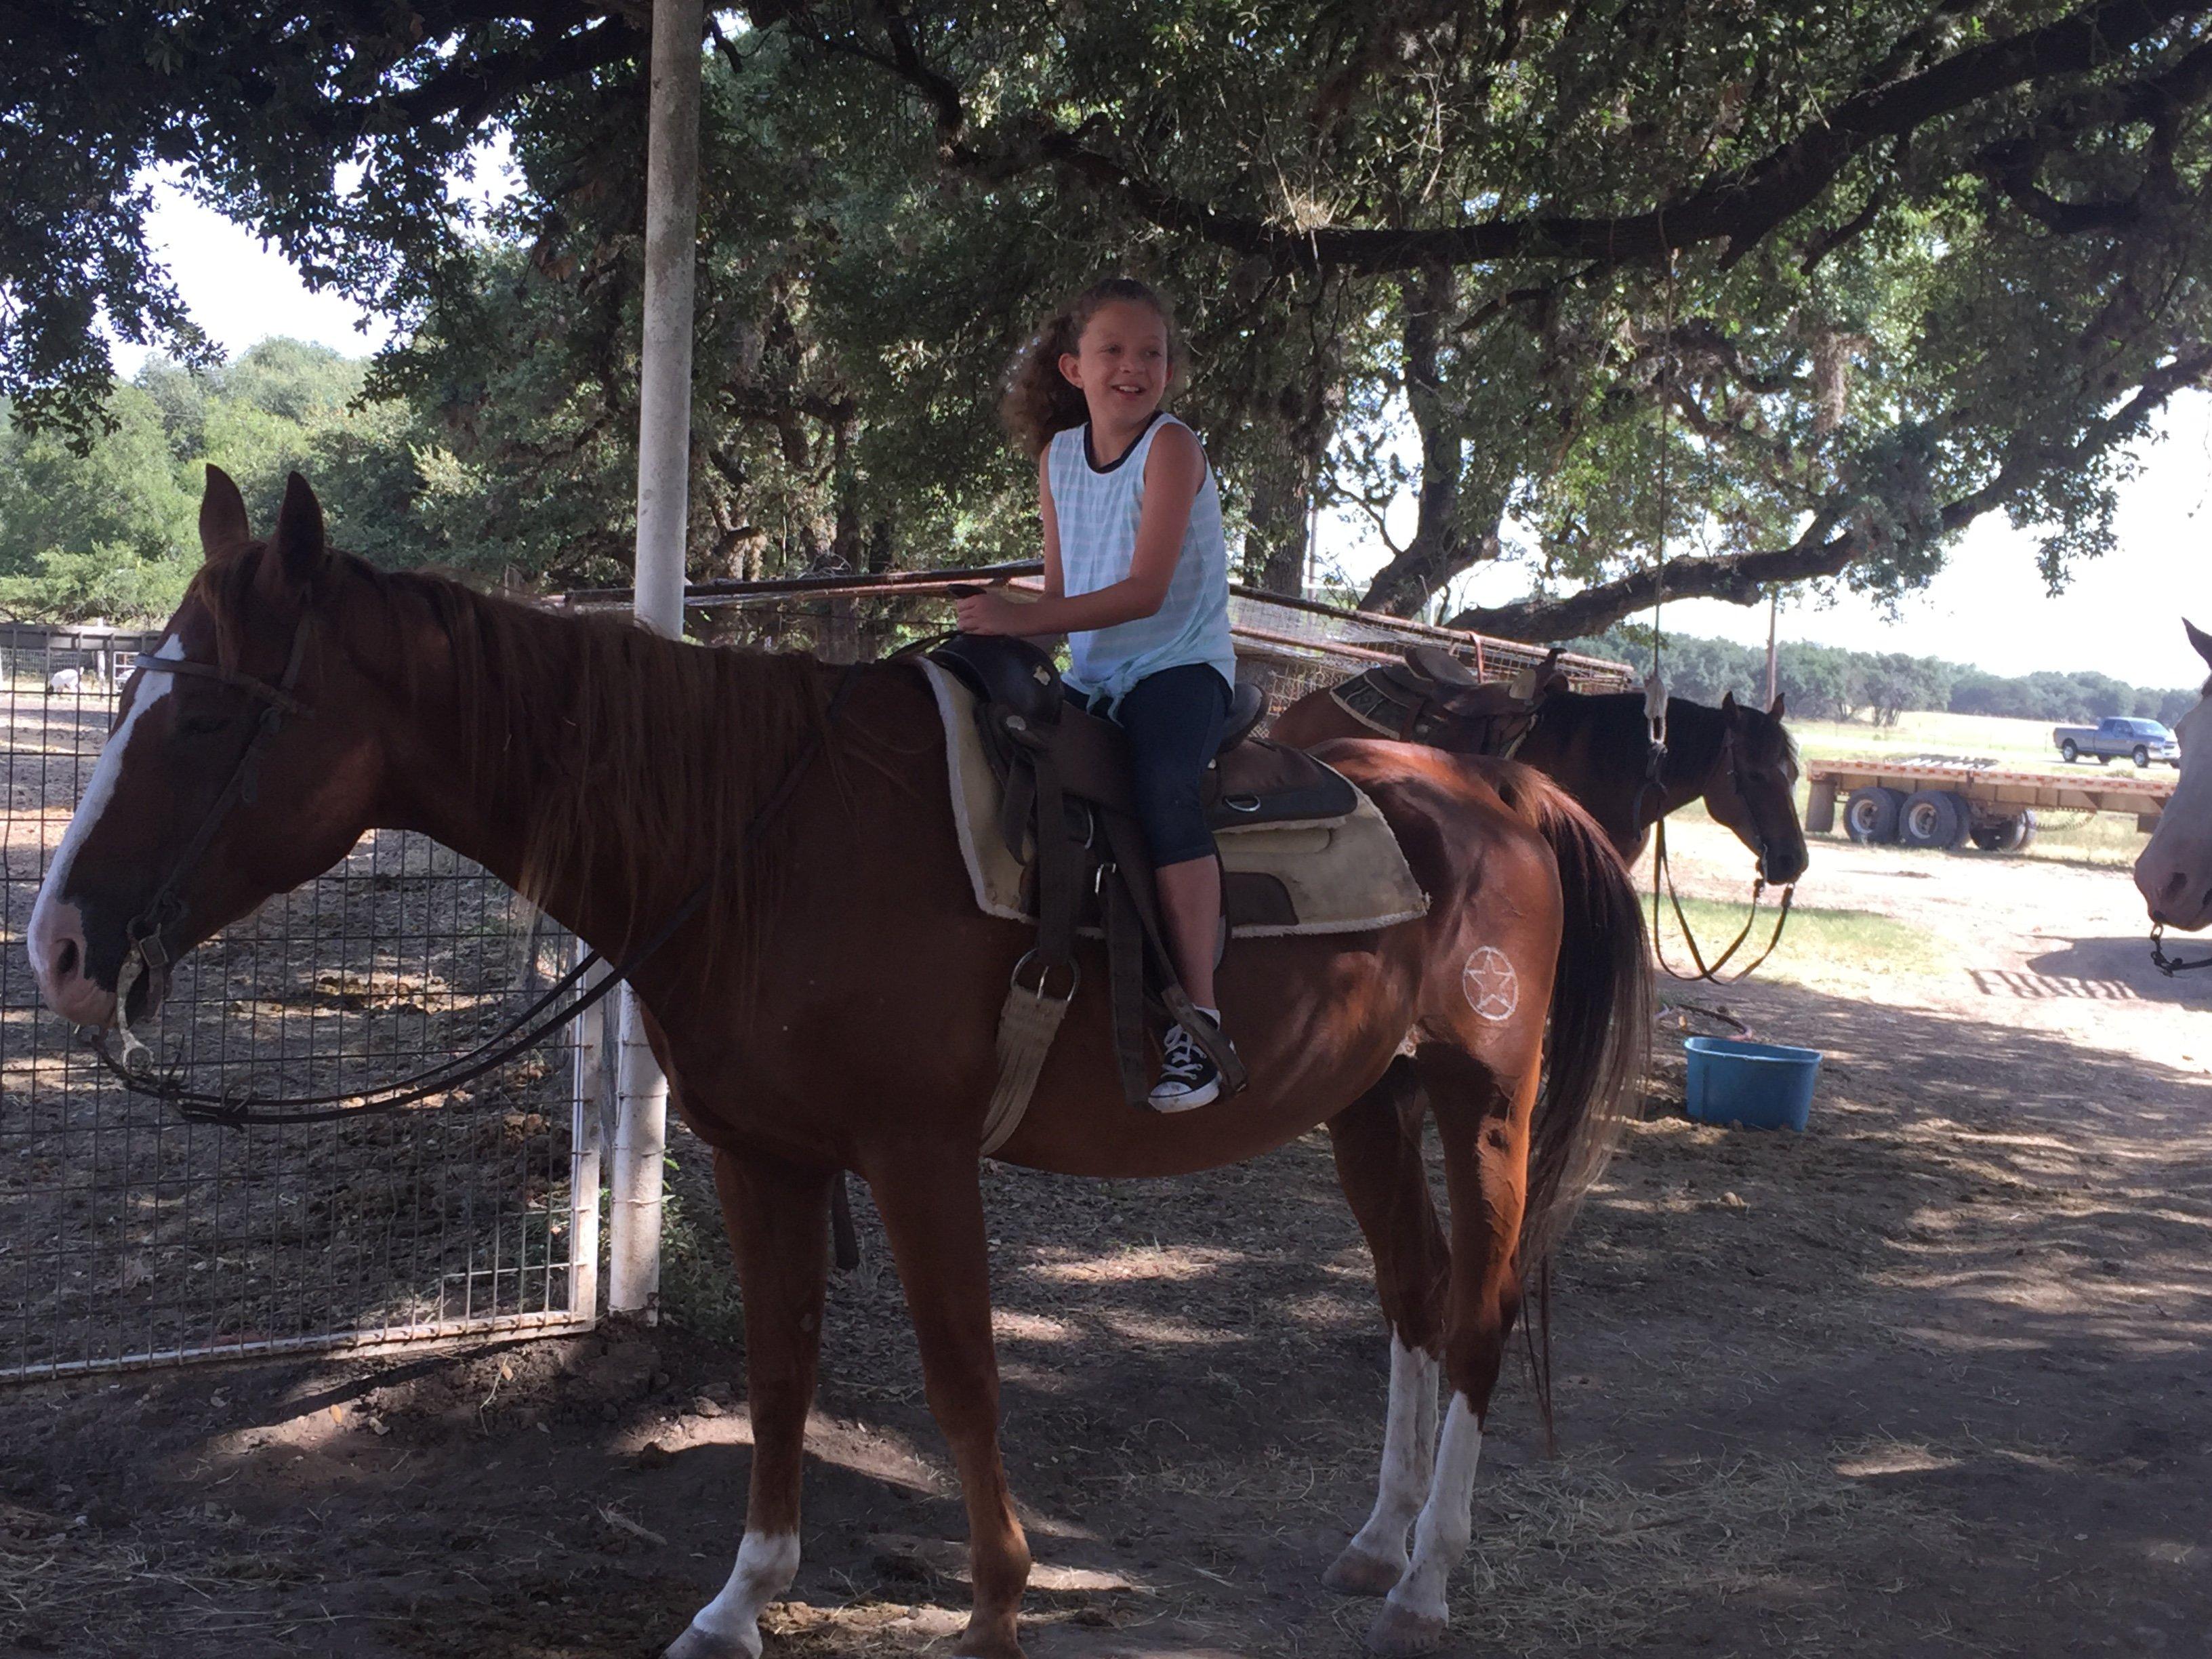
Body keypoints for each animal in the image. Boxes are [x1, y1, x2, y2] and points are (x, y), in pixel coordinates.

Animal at [26, 468, 1654, 1659]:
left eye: (212, 715)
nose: (56, 948)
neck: (754, 836)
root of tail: (1494, 787)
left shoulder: (917, 1157)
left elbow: (959, 1375)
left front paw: (994, 1611)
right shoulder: (764, 1155)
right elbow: (781, 1362)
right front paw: (741, 1598)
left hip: (1482, 1105)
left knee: (1479, 1309)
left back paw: (1428, 1575)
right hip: (1369, 1101)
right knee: (1411, 1298)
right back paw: (1377, 1538)